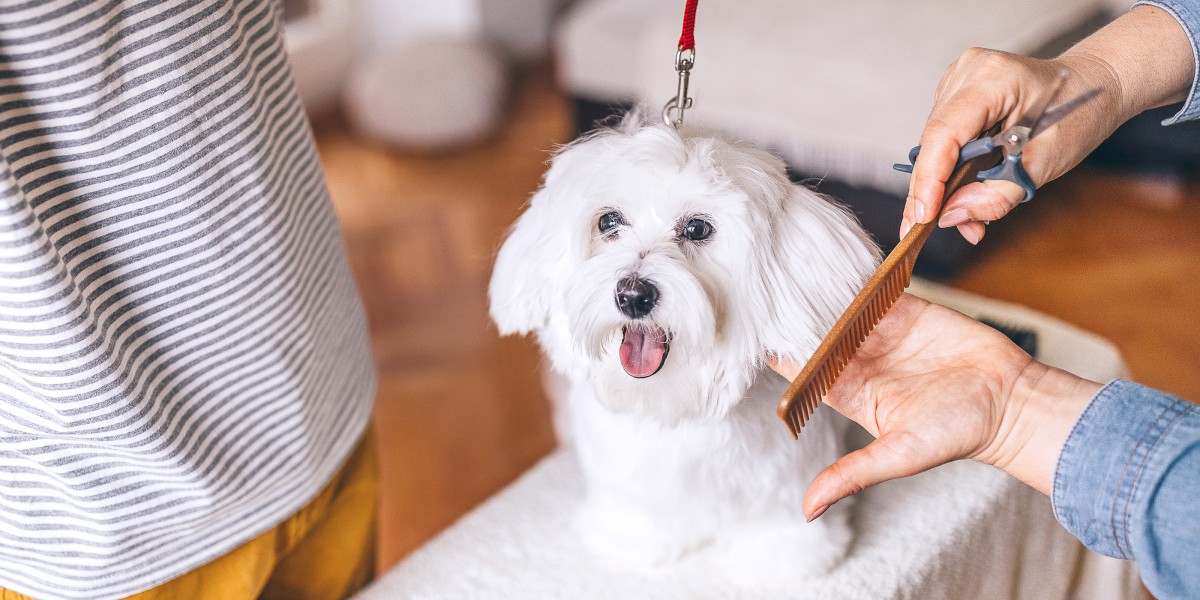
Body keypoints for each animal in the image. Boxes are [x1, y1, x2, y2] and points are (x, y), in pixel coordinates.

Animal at [487, 115, 883, 580]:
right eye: (608, 222)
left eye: (697, 228)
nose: (632, 295)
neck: (674, 402)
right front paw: (637, 539)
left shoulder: (787, 472)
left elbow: (779, 518)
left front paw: (781, 558)